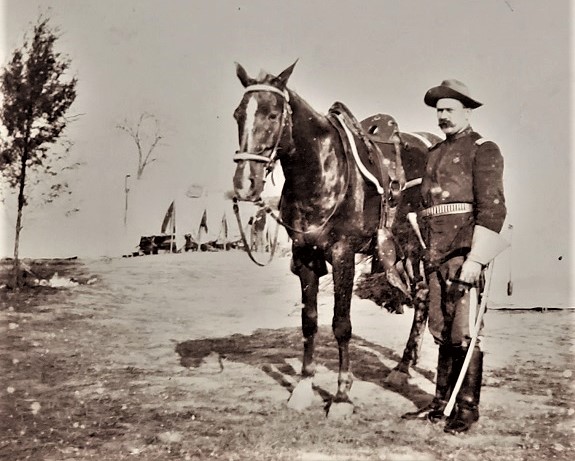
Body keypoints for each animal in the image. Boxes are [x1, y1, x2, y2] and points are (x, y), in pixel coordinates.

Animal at [232, 61, 438, 410]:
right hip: (406, 250)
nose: (245, 182)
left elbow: (341, 325)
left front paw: (341, 395)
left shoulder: (344, 256)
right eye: (237, 114)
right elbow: (310, 321)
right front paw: (304, 385)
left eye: (273, 115)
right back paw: (402, 367)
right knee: (422, 297)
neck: (322, 173)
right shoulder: (305, 256)